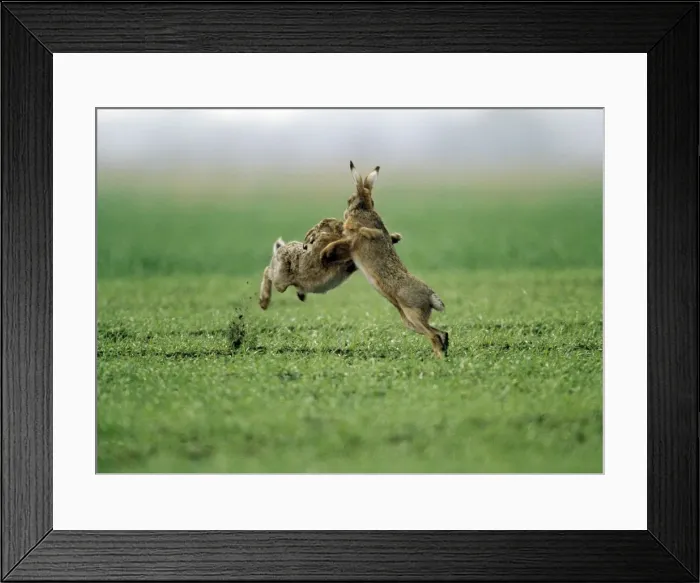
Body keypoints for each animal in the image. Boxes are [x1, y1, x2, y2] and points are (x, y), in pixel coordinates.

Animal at [259, 217, 402, 310]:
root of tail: (278, 250)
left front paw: (395, 237)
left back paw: (301, 296)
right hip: (281, 280)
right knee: (267, 272)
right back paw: (263, 302)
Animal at [320, 162, 448, 358]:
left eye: (350, 199)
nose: (345, 212)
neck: (363, 209)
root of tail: (431, 296)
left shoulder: (352, 241)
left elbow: (343, 241)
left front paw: (324, 254)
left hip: (413, 314)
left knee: (434, 335)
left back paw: (440, 359)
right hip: (410, 321)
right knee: (441, 333)